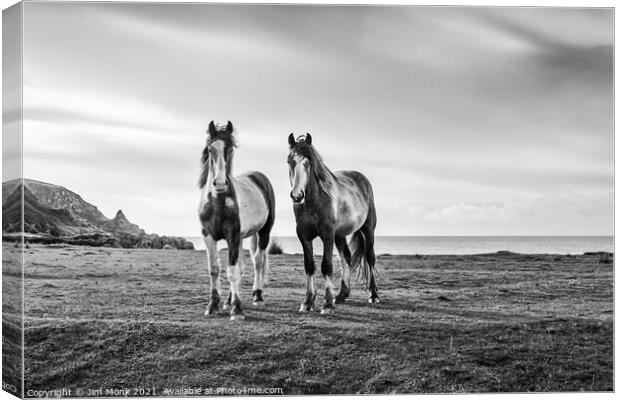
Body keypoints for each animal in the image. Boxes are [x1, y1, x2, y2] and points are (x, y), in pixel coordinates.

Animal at [199, 120, 276, 320]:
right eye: (210, 149)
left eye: (231, 149)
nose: (219, 183)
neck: (218, 202)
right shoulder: (208, 236)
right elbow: (215, 269)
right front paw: (213, 305)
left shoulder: (232, 235)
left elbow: (232, 271)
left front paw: (237, 310)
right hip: (241, 238)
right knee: (240, 266)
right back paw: (228, 300)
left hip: (263, 232)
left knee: (258, 261)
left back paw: (257, 296)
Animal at [288, 133, 380, 314]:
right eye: (289, 161)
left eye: (308, 162)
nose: (297, 196)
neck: (313, 202)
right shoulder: (304, 236)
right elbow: (309, 266)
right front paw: (308, 302)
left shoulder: (327, 234)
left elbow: (326, 265)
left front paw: (327, 304)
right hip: (340, 235)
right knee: (346, 257)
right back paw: (342, 295)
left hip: (367, 230)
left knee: (370, 257)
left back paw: (373, 295)